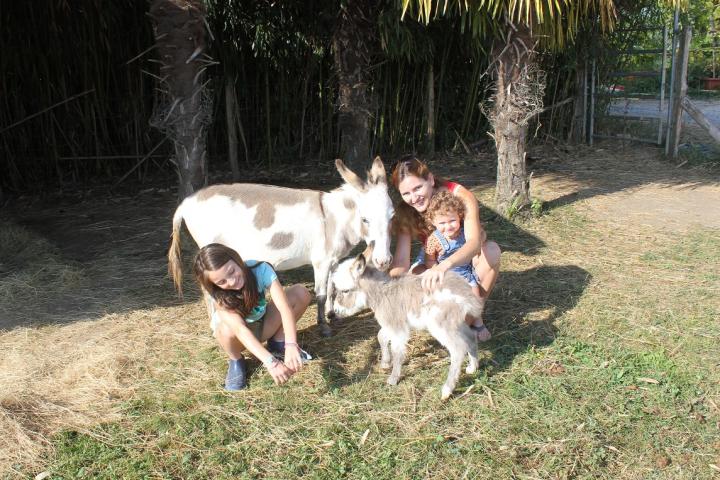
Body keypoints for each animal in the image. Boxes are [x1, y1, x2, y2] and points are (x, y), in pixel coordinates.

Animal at [332, 246, 484, 400]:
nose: (334, 312)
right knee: (471, 337)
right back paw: (472, 368)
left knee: (458, 350)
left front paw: (393, 379)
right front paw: (385, 363)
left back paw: (447, 390)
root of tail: (466, 294)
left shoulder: (397, 328)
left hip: (441, 325)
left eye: (345, 291)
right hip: (456, 323)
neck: (382, 294)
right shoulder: (391, 324)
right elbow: (381, 337)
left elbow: (397, 352)